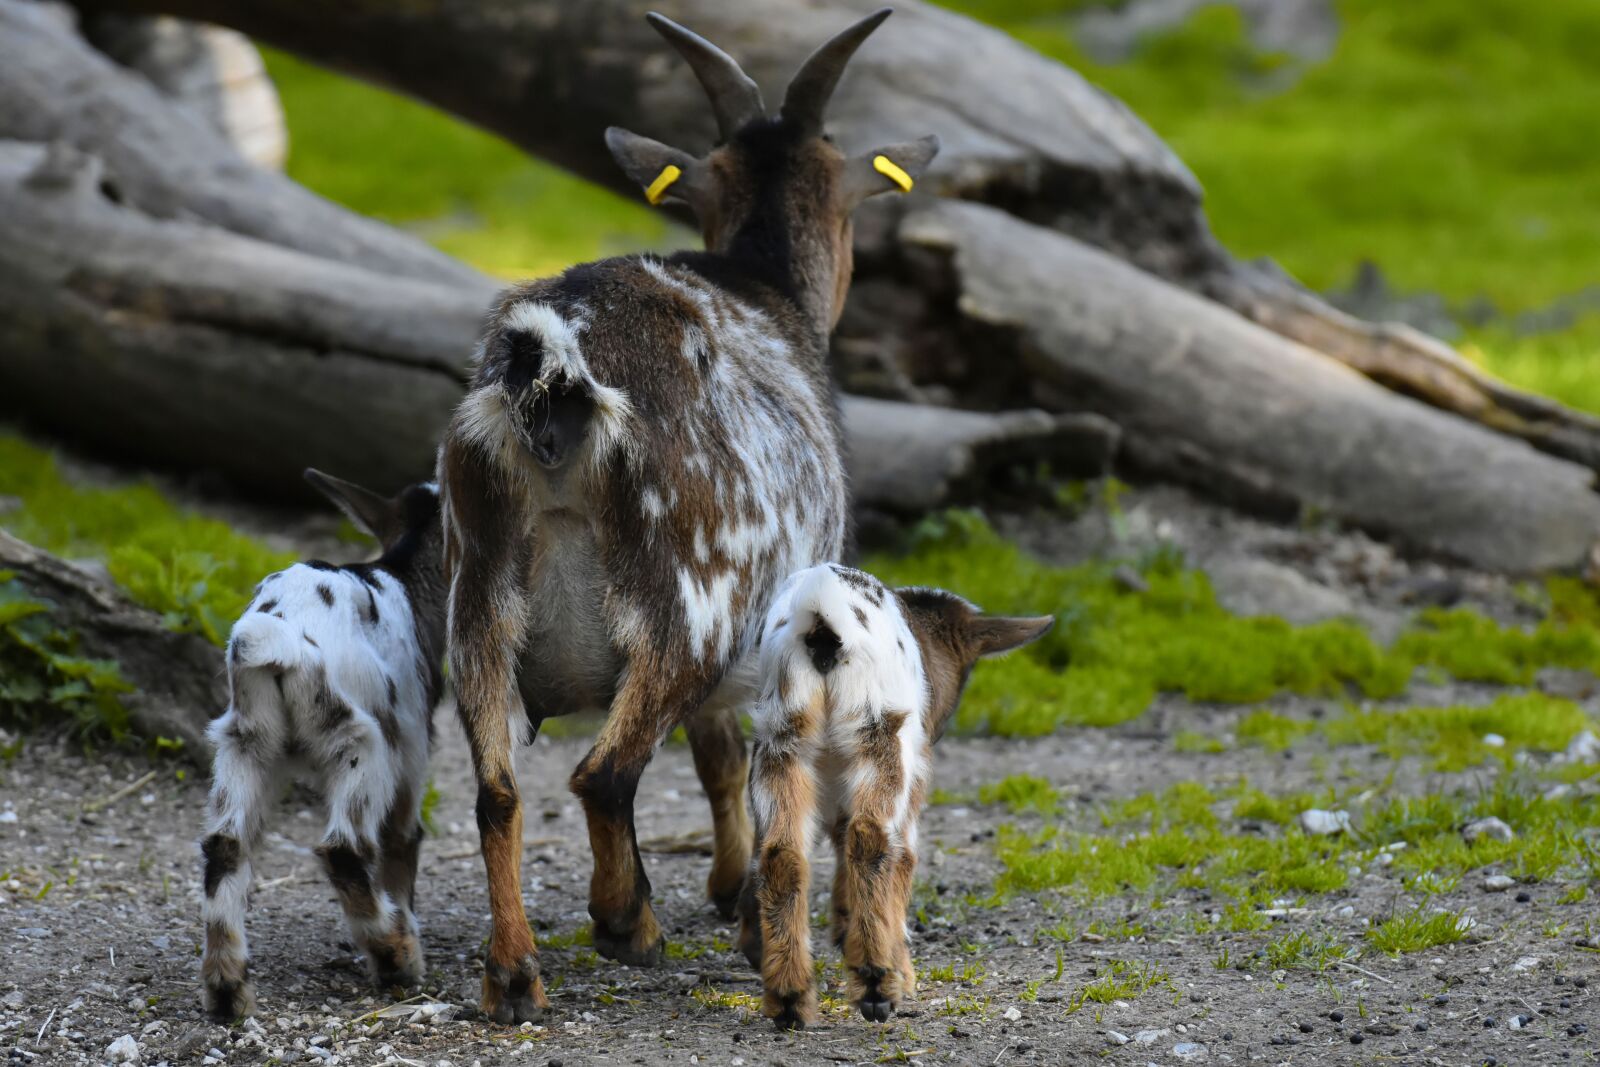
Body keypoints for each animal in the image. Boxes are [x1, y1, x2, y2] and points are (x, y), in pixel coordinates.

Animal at [199, 470, 445, 1021]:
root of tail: (284, 630)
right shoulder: (411, 754)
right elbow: (403, 843)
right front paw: (407, 939)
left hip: (244, 744)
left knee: (225, 845)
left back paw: (228, 991)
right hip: (360, 745)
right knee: (343, 849)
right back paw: (396, 958)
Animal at [437, 8, 938, 1023]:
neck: (763, 286)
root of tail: (551, 365)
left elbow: (714, 755)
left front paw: (725, 886)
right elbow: (738, 758)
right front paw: (742, 915)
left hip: (476, 594)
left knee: (497, 790)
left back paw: (513, 975)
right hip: (687, 600)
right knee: (604, 772)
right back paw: (627, 922)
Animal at [737, 564, 1052, 1029]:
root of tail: (821, 608)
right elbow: (903, 856)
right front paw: (902, 971)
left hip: (781, 731)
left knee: (781, 850)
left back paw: (789, 999)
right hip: (881, 729)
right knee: (871, 839)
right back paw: (876, 986)